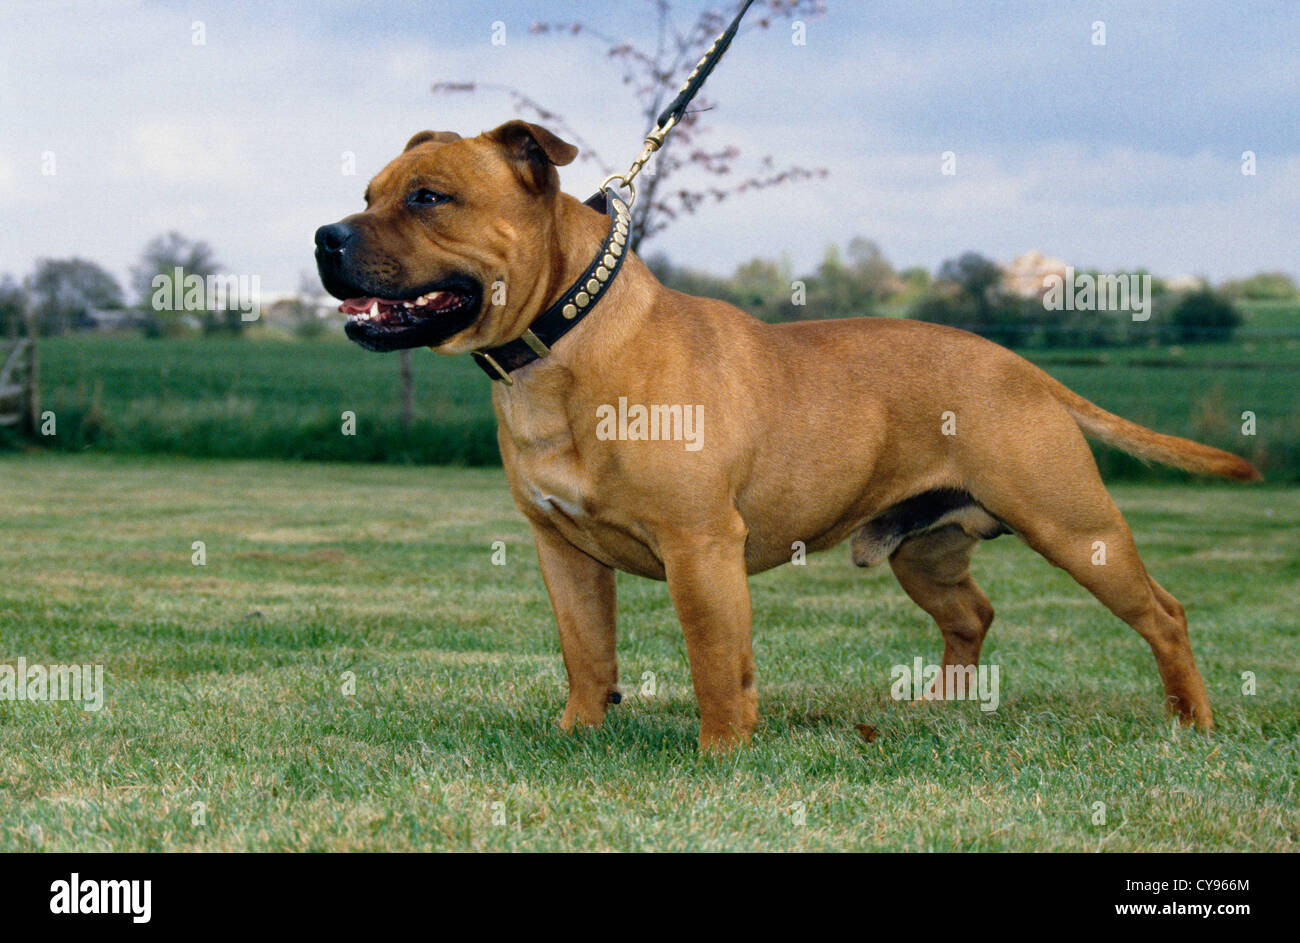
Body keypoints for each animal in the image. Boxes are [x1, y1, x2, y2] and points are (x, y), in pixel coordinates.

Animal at [314, 119, 1258, 749]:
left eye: (429, 197)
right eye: (365, 196)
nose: (325, 235)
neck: (563, 343)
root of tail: (1020, 365)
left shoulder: (700, 545)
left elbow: (714, 658)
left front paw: (722, 754)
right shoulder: (564, 550)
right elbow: (587, 652)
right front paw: (578, 735)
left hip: (1073, 527)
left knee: (1164, 614)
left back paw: (1192, 721)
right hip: (926, 547)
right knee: (972, 612)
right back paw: (942, 707)